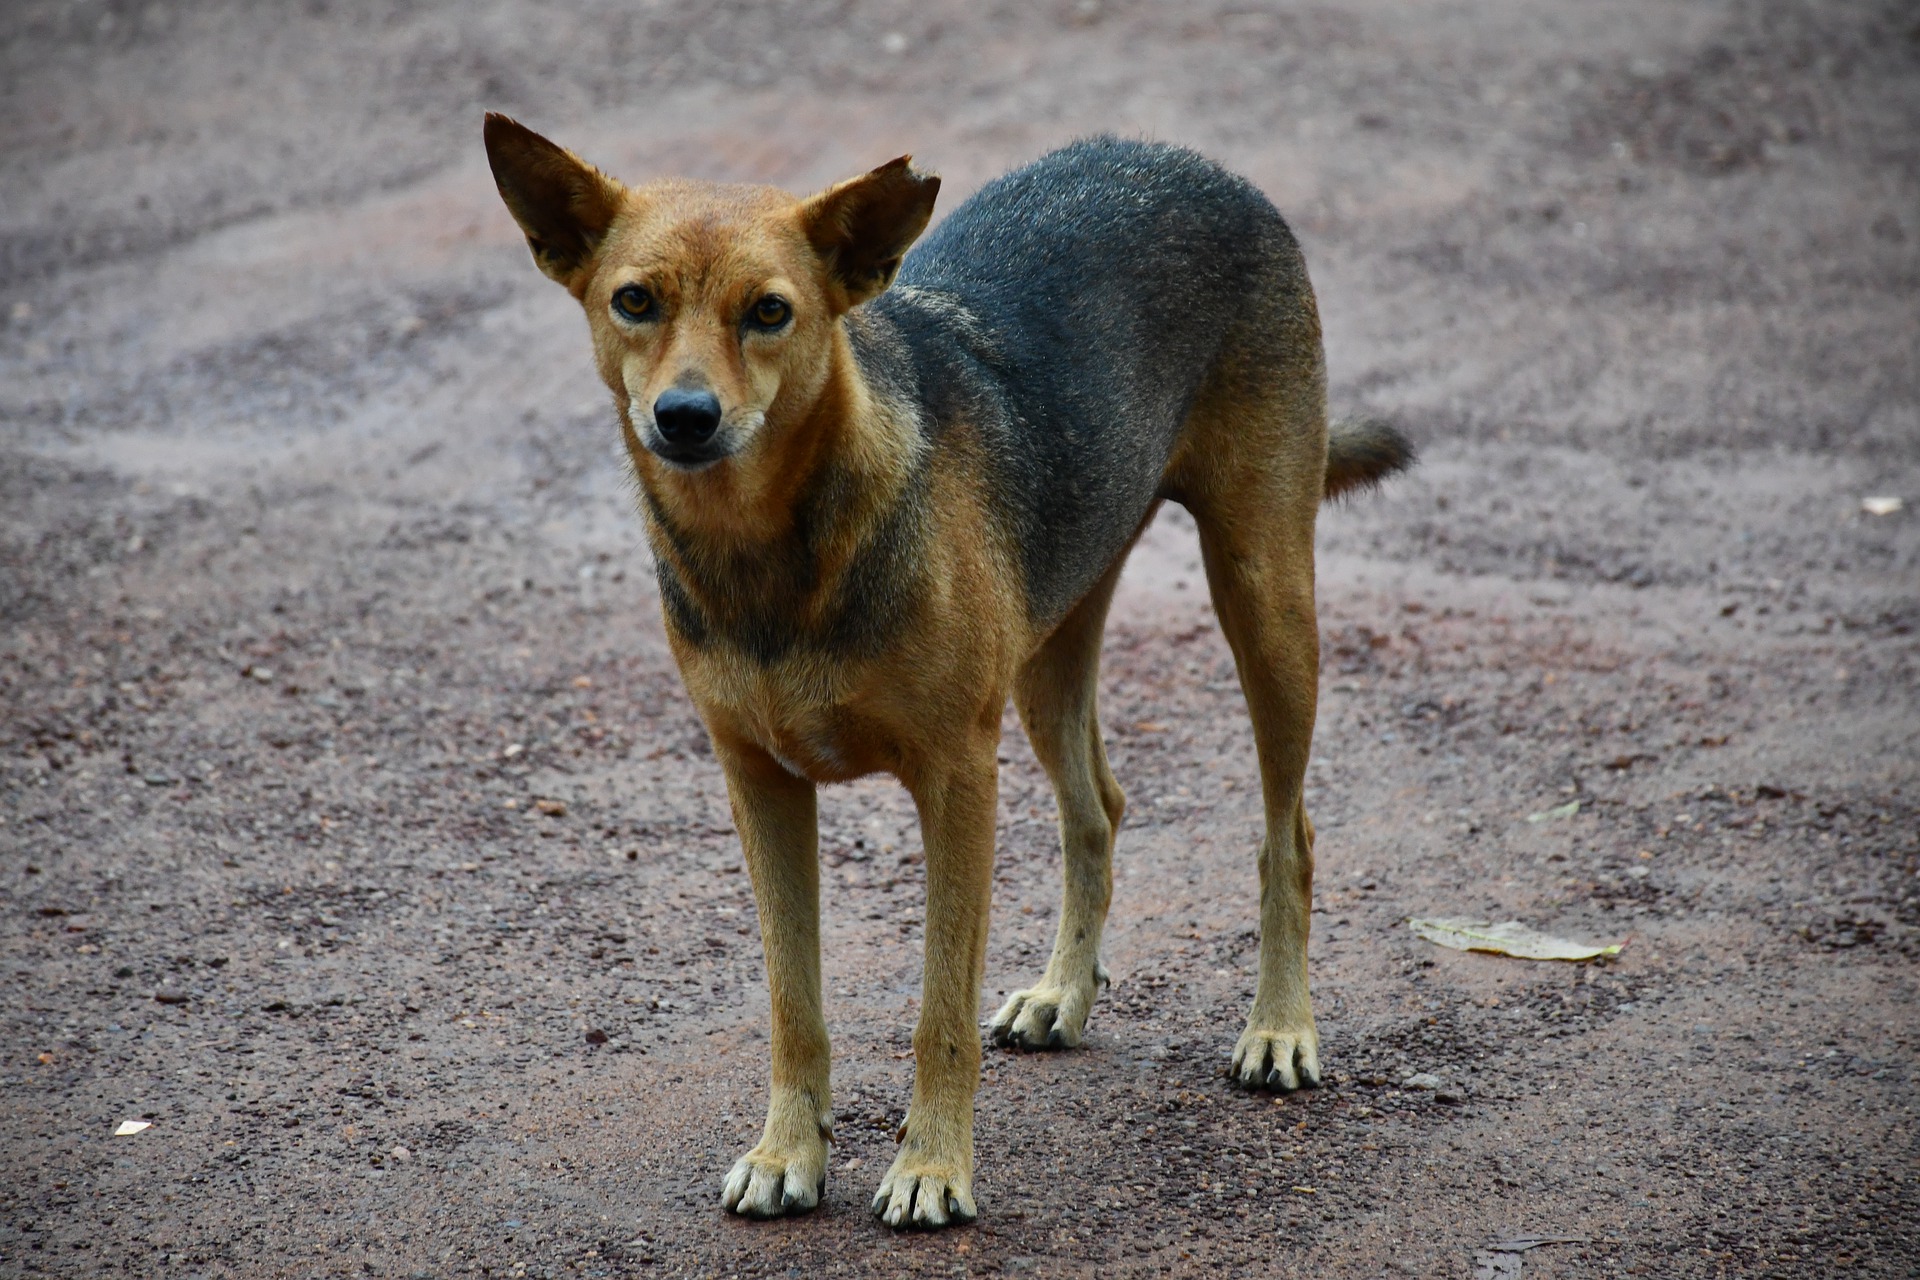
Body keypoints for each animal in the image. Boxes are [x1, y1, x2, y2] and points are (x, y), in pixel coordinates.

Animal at [480, 119, 1413, 1228]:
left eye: (769, 312)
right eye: (634, 301)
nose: (686, 417)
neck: (773, 549)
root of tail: (1184, 157)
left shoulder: (956, 779)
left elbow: (939, 1012)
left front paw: (931, 1166)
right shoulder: (760, 784)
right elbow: (793, 1002)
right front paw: (789, 1150)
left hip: (1263, 598)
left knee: (1288, 834)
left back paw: (1278, 1026)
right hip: (1051, 650)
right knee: (1098, 808)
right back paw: (1064, 992)